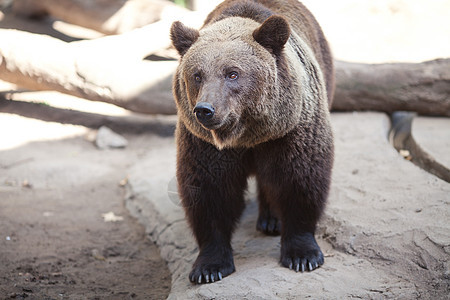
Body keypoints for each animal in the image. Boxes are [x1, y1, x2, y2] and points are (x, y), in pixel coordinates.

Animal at [169, 0, 334, 284]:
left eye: (232, 73)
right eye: (197, 74)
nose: (205, 110)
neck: (247, 135)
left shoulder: (291, 131)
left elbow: (300, 179)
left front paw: (303, 255)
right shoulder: (204, 144)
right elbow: (209, 192)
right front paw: (209, 266)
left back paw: (271, 220)